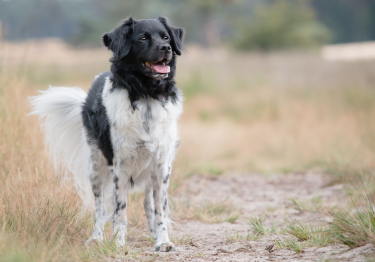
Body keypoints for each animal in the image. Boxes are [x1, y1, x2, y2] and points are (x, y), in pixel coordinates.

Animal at [30, 16, 185, 252]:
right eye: (142, 38)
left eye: (166, 37)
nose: (166, 48)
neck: (146, 96)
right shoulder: (120, 166)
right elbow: (120, 211)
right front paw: (119, 243)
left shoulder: (161, 166)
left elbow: (160, 208)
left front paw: (162, 240)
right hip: (96, 166)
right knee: (100, 207)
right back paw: (96, 238)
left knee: (147, 202)